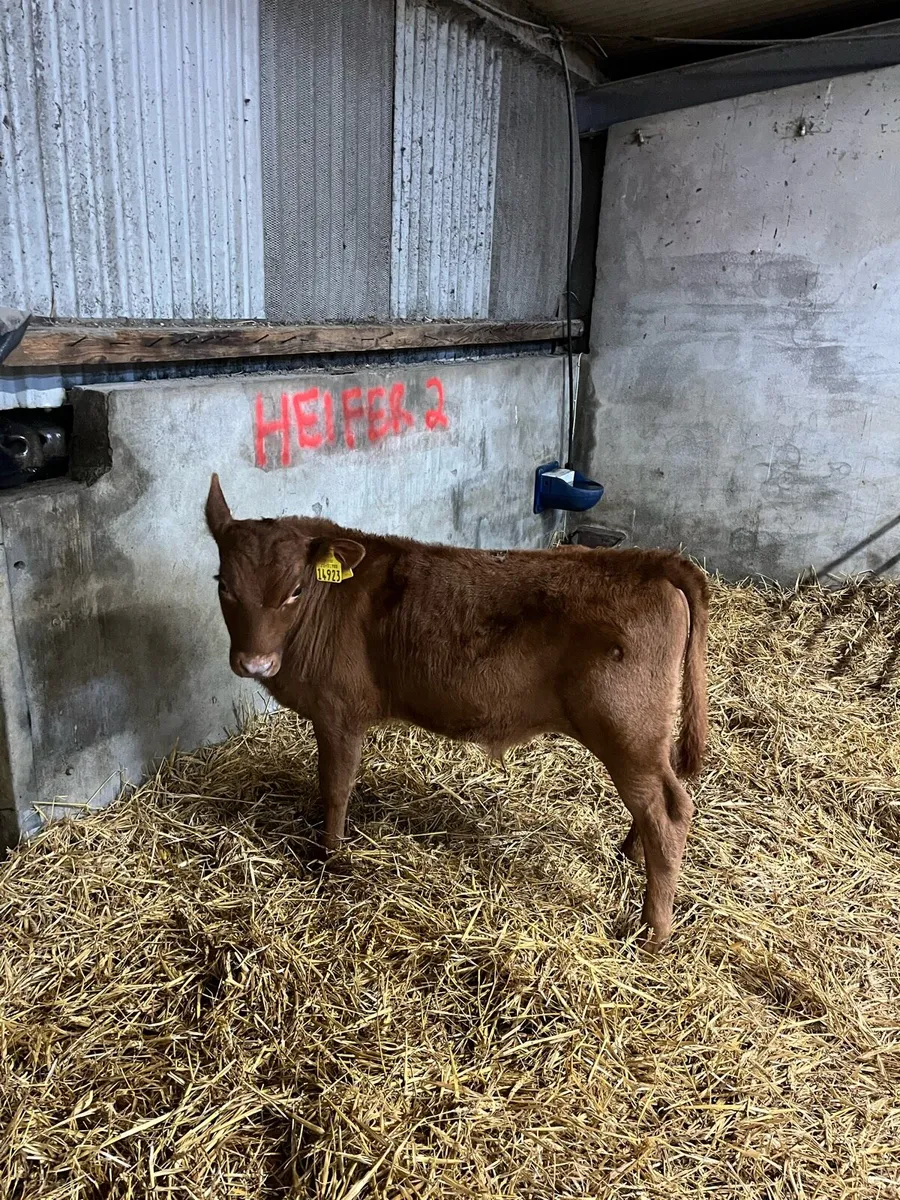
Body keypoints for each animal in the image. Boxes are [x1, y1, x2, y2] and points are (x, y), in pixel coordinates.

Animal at [205, 474, 708, 949]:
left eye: (295, 590)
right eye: (223, 585)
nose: (254, 663)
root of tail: (648, 561)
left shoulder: (338, 711)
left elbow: (335, 787)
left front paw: (329, 857)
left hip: (625, 727)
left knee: (668, 814)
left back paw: (653, 932)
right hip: (644, 735)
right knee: (654, 798)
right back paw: (630, 855)